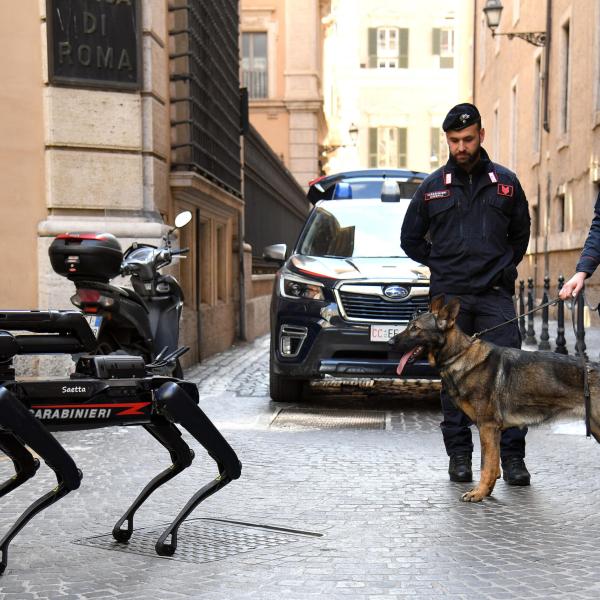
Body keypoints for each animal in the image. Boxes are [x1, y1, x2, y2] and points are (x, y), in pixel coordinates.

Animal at [386, 296, 596, 502]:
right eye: (409, 325)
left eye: (415, 328)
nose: (389, 342)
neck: (458, 354)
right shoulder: (491, 431)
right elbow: (493, 465)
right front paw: (486, 491)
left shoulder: (487, 427)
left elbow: (486, 465)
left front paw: (478, 493)